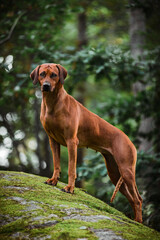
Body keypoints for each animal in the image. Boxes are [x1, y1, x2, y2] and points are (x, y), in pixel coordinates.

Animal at [30, 62, 142, 222]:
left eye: (54, 75)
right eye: (42, 74)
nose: (46, 86)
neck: (53, 102)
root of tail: (130, 142)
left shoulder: (72, 142)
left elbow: (71, 169)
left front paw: (70, 188)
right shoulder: (53, 140)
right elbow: (57, 164)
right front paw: (53, 180)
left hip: (126, 170)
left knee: (138, 199)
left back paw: (139, 222)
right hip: (114, 173)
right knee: (133, 199)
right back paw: (135, 222)